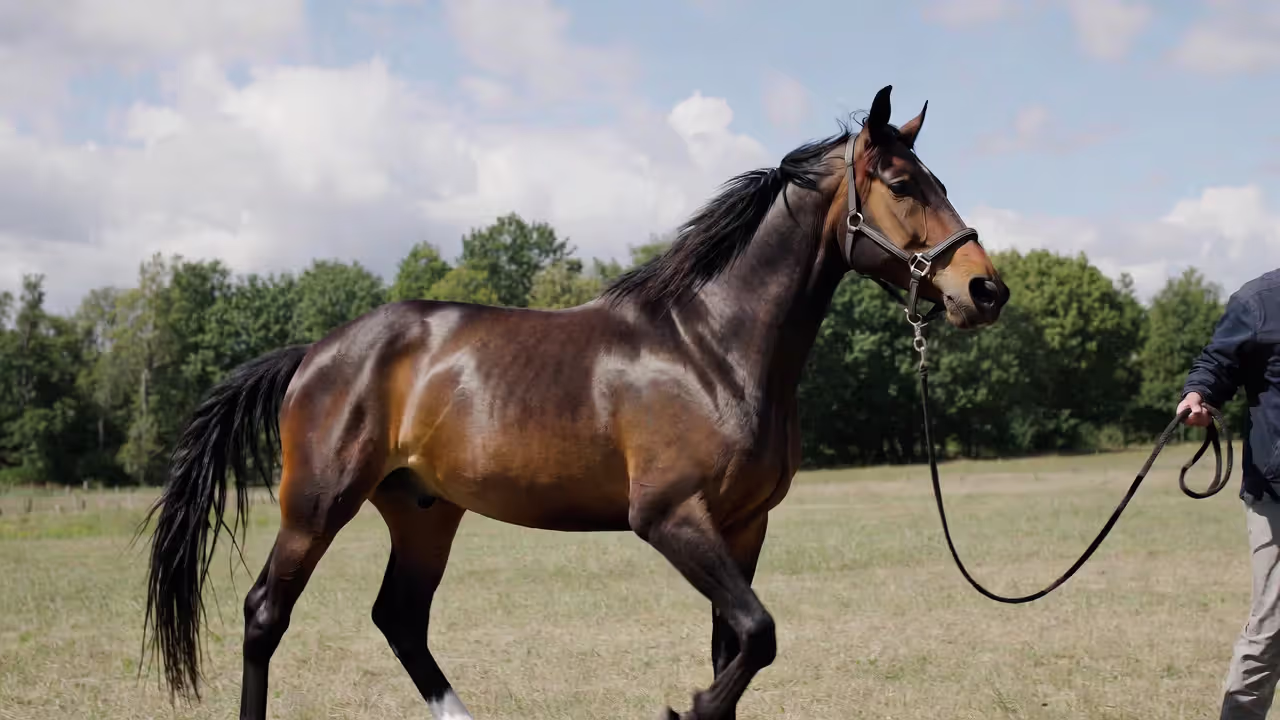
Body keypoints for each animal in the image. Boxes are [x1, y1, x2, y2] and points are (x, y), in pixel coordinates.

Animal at [140, 84, 1009, 720]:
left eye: (939, 182)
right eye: (902, 184)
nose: (985, 290)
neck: (711, 346)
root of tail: (315, 353)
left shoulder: (743, 527)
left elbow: (734, 646)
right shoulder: (670, 518)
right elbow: (757, 637)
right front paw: (687, 708)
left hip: (423, 512)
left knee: (400, 618)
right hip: (317, 506)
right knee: (265, 614)